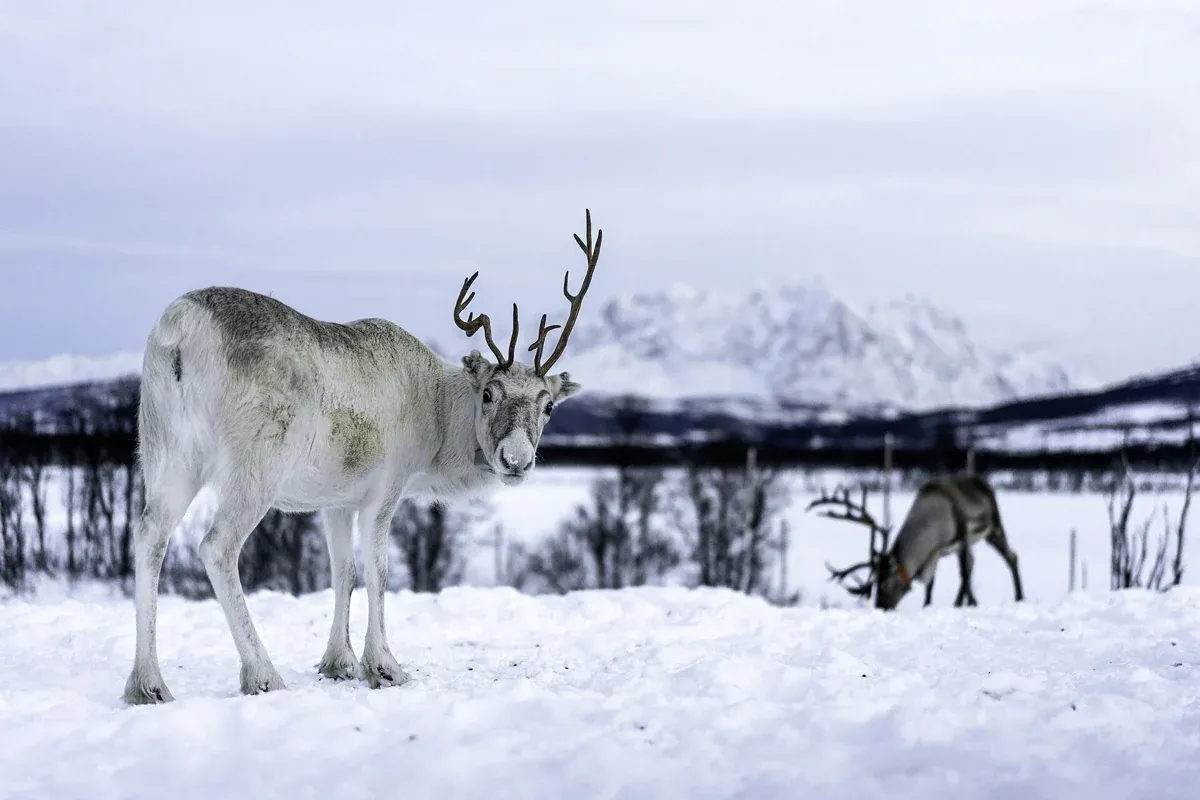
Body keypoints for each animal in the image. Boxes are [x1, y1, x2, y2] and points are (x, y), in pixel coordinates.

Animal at [122, 210, 603, 705]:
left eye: (549, 406)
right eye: (489, 393)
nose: (516, 460)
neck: (437, 413)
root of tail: (181, 329)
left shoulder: (337, 500)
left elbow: (343, 572)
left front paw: (339, 662)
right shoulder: (385, 490)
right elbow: (379, 572)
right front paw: (384, 665)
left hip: (167, 451)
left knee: (149, 533)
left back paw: (147, 684)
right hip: (255, 465)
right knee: (217, 547)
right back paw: (262, 674)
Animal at [810, 474, 1024, 610]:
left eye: (885, 584)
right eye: (875, 582)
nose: (881, 607)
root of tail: (984, 483)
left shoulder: (962, 537)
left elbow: (963, 573)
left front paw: (968, 603)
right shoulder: (935, 553)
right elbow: (930, 584)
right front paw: (928, 605)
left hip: (993, 528)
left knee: (1010, 557)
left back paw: (1018, 597)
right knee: (975, 564)